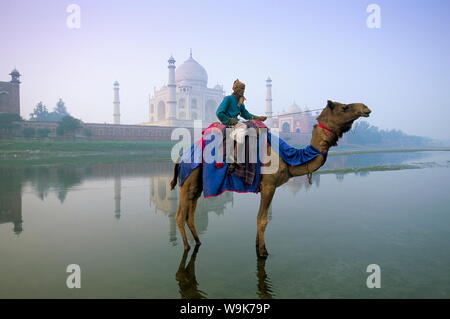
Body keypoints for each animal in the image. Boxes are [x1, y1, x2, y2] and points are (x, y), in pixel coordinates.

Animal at [171, 101, 370, 258]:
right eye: (345, 107)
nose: (365, 108)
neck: (287, 157)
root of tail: (182, 156)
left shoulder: (266, 187)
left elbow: (260, 218)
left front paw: (257, 246)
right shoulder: (269, 185)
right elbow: (262, 219)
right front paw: (263, 252)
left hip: (197, 184)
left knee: (191, 213)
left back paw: (198, 242)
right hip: (188, 180)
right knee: (180, 215)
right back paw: (187, 246)